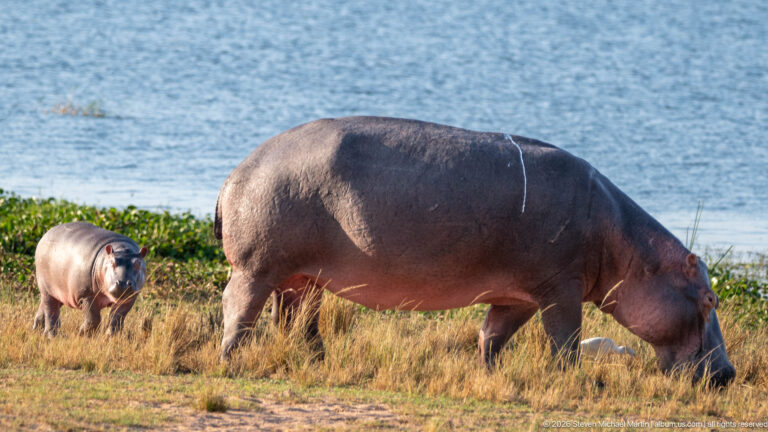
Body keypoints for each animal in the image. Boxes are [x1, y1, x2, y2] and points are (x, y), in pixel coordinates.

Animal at [214, 116, 735, 386]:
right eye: (710, 300)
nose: (729, 373)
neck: (631, 249)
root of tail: (238, 170)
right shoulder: (560, 289)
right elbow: (565, 339)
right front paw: (573, 379)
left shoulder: (518, 295)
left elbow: (493, 335)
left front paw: (489, 374)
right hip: (257, 267)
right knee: (238, 309)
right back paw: (230, 360)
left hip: (303, 277)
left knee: (296, 320)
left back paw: (318, 362)